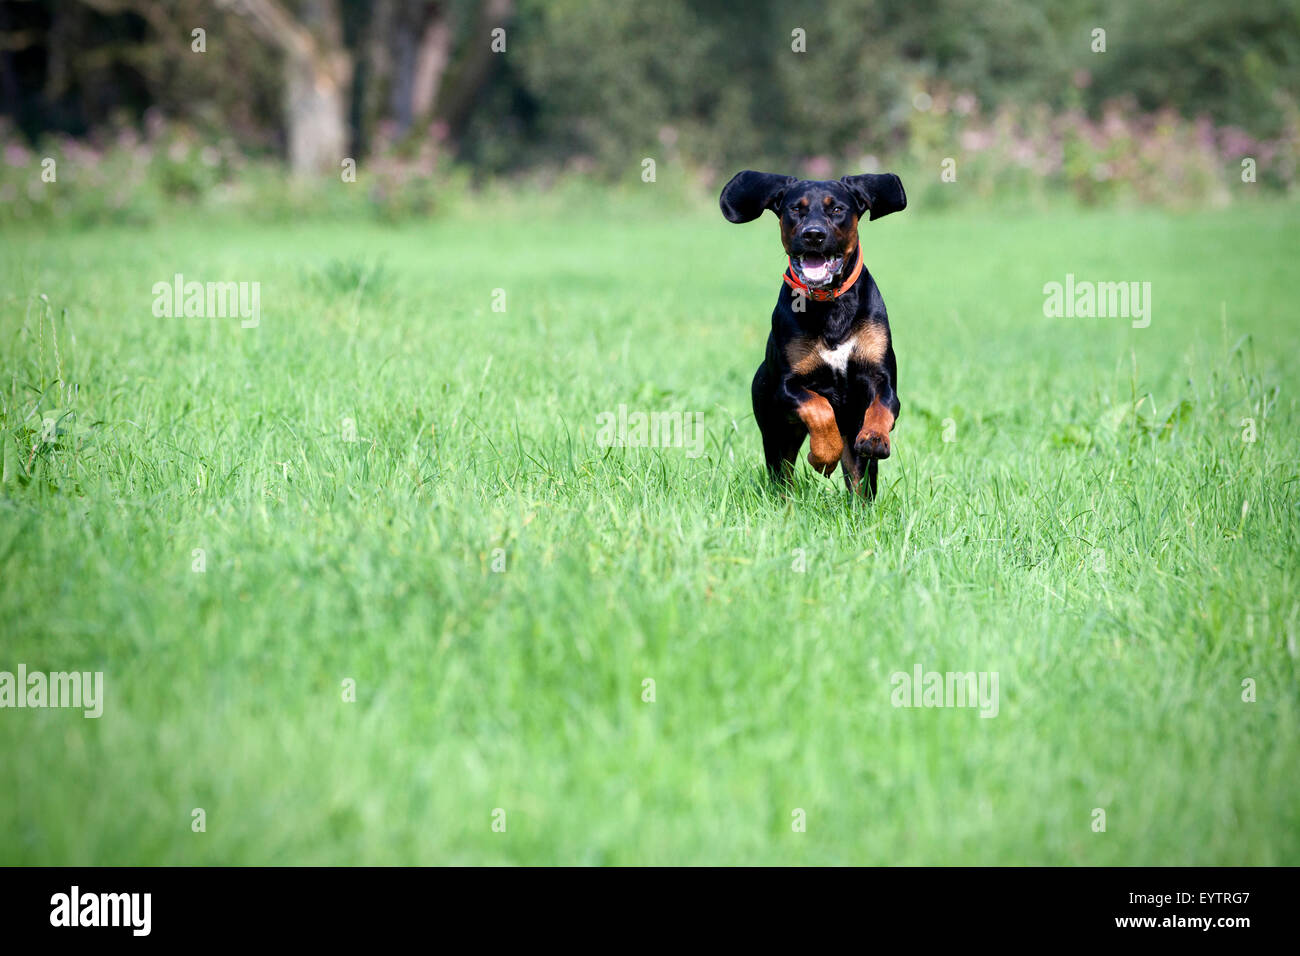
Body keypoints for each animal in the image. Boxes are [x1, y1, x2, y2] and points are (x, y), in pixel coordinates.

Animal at [722, 172, 904, 502]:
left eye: (837, 209)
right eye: (796, 209)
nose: (814, 235)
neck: (828, 305)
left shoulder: (881, 377)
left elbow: (882, 407)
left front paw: (874, 437)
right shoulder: (786, 386)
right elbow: (818, 407)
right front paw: (822, 455)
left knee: (860, 482)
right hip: (775, 432)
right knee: (781, 475)